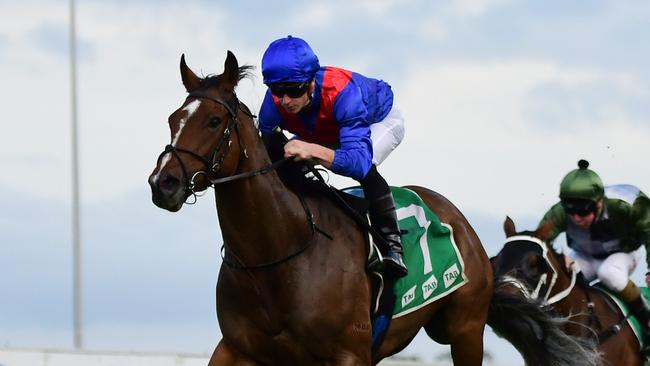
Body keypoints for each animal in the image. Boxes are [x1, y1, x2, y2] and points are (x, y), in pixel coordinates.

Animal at [148, 51, 596, 366]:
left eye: (213, 121)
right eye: (172, 119)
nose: (162, 184)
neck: (278, 255)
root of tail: (464, 226)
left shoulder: (348, 353)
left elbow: (360, 161)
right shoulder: (237, 349)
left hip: (465, 330)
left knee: (368, 169)